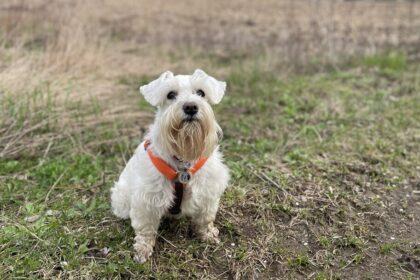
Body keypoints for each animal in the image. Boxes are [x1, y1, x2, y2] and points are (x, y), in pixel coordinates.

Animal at [110, 69, 230, 262]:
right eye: (170, 95)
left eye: (201, 92)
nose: (190, 107)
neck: (183, 161)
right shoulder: (147, 199)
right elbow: (146, 229)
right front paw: (142, 250)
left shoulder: (207, 191)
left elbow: (204, 218)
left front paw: (207, 235)